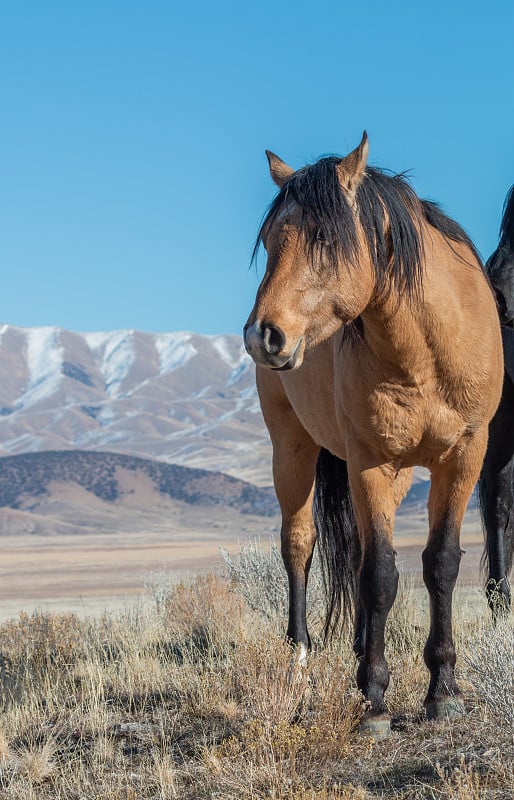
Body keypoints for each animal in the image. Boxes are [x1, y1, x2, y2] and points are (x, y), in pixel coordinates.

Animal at [243, 134, 500, 740]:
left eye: (324, 237)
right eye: (268, 241)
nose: (263, 335)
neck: (426, 351)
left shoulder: (464, 456)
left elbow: (440, 562)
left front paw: (444, 691)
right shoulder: (369, 461)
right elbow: (381, 573)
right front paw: (377, 702)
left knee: (357, 549)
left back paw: (360, 654)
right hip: (291, 448)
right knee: (300, 546)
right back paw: (299, 665)